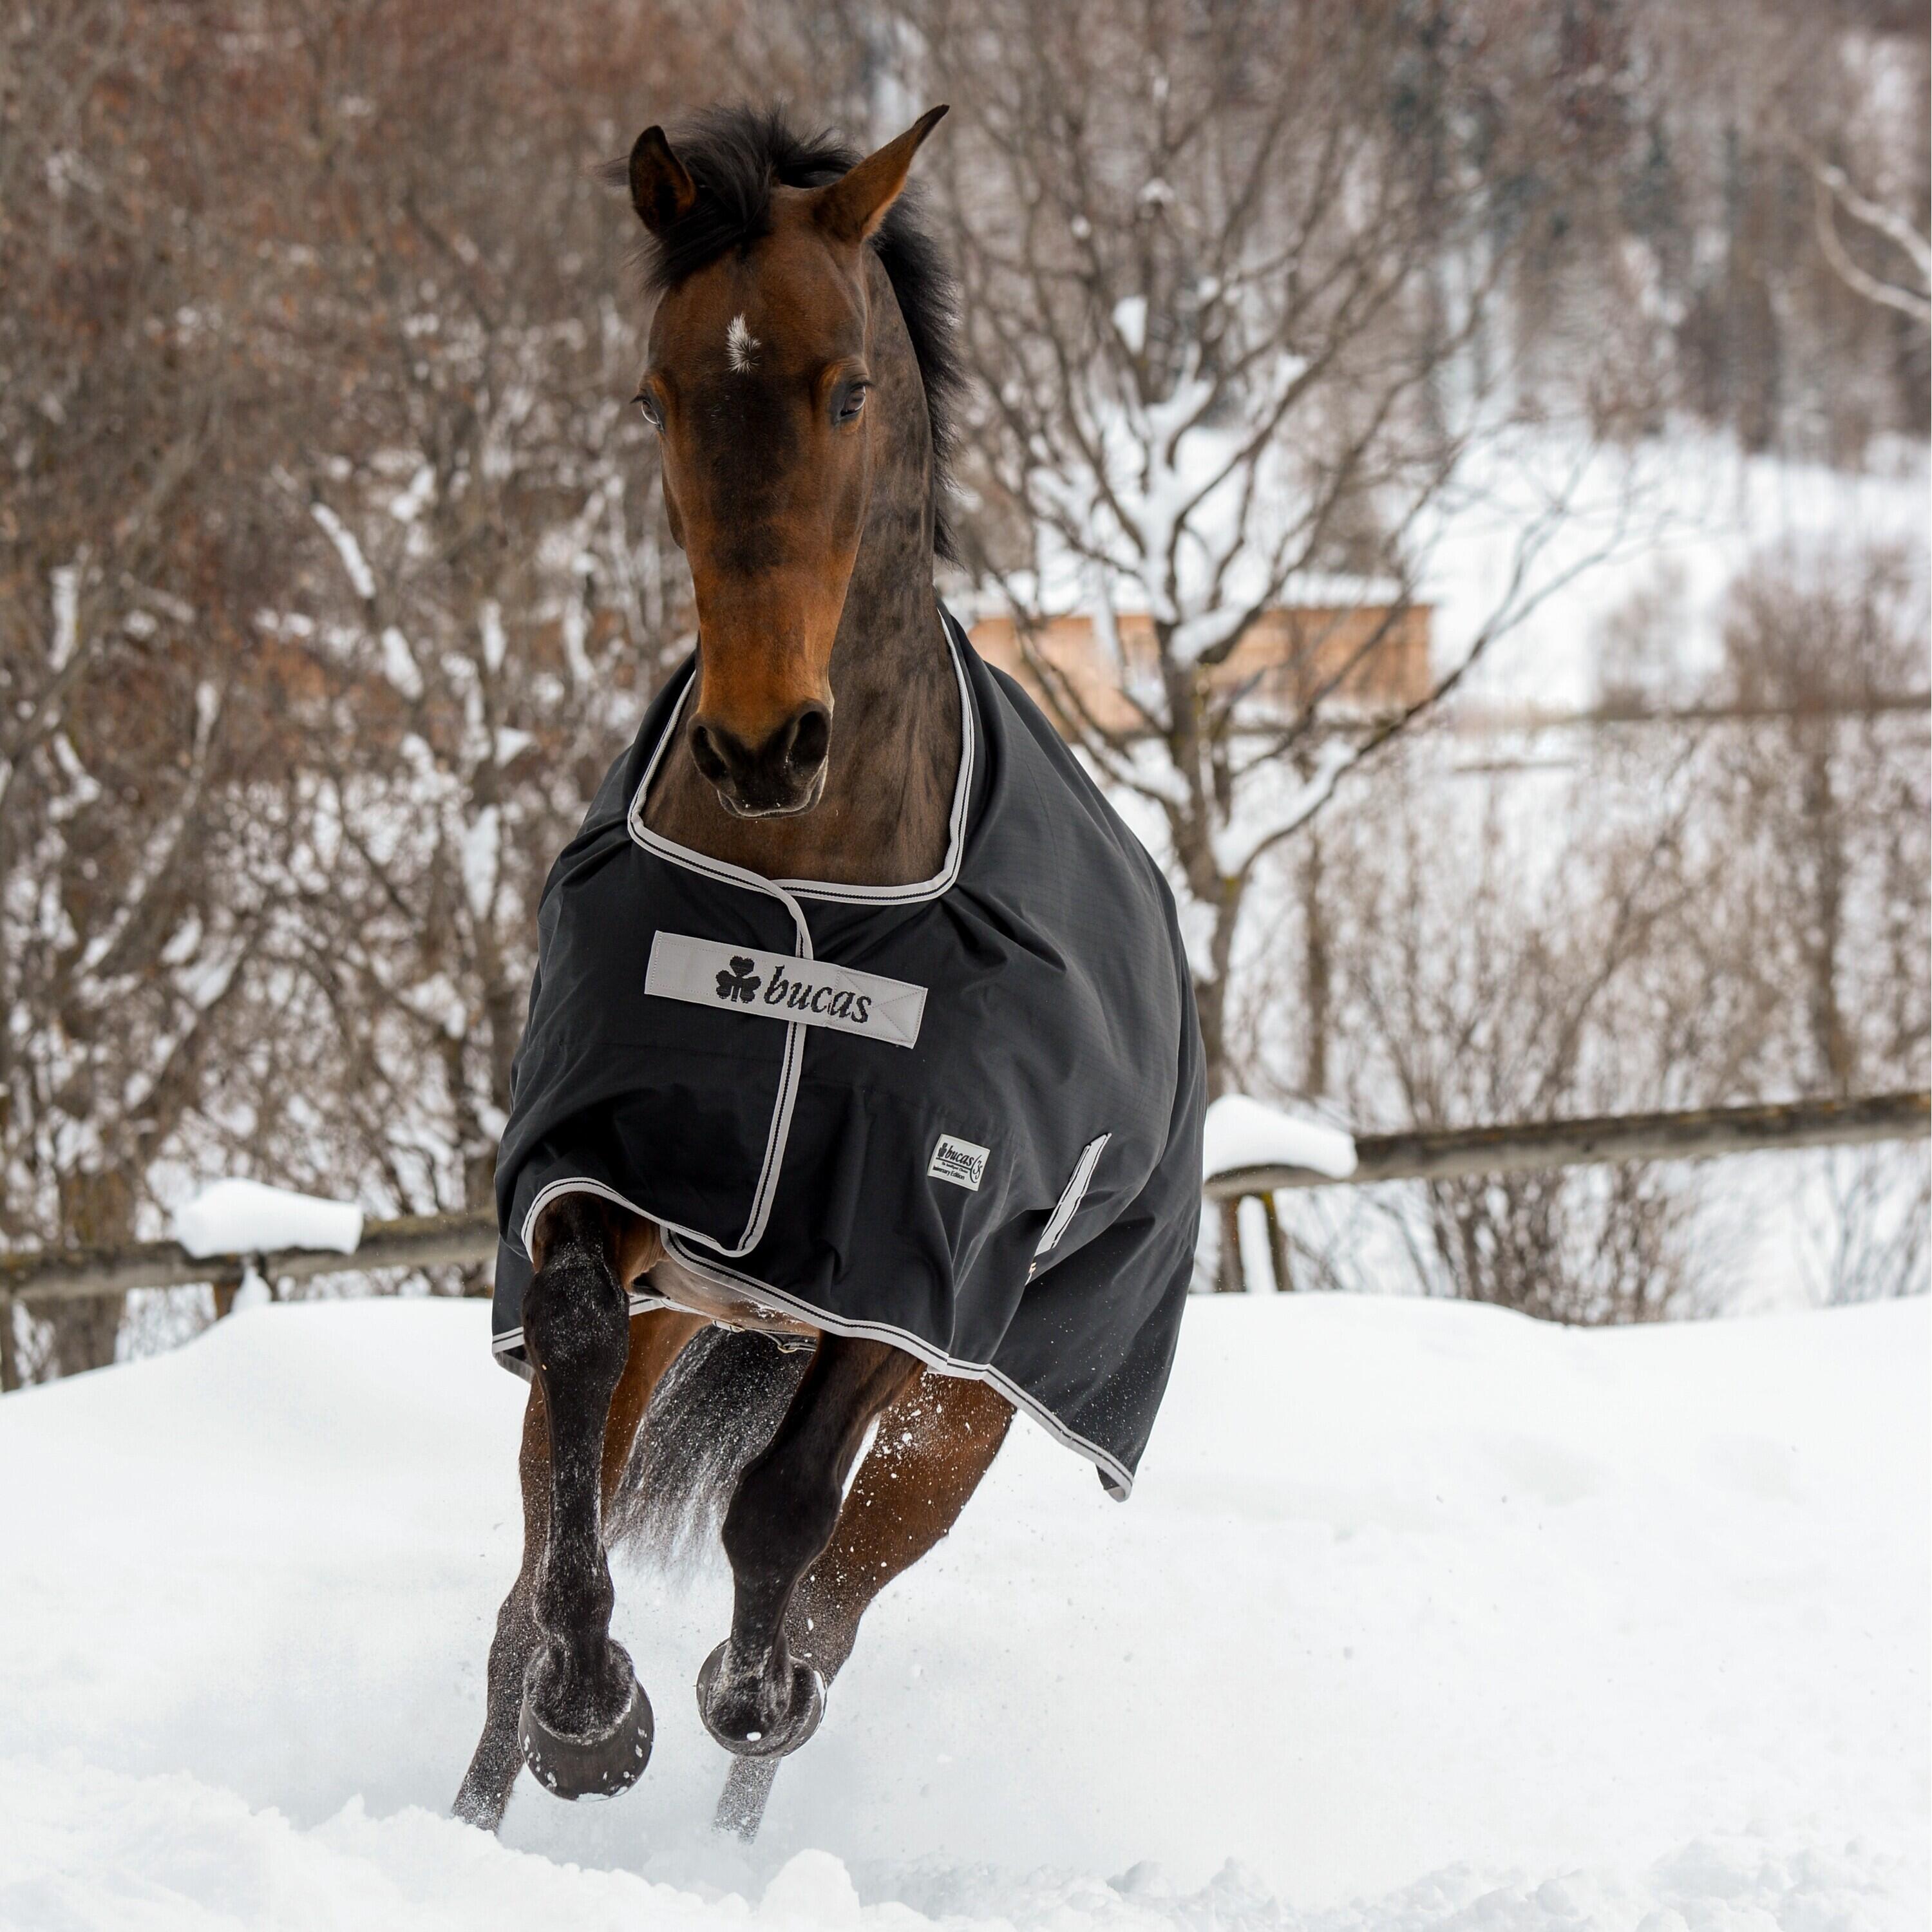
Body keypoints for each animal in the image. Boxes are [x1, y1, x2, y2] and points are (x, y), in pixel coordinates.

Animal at [453, 103, 1203, 1843]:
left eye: (846, 388)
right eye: (658, 393)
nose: (759, 742)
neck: (806, 902)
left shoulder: (915, 1273)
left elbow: (781, 1513)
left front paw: (738, 1689)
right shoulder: (603, 1185)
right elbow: (573, 1374)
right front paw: (592, 1713)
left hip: (970, 1417)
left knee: (836, 1617)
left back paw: (747, 1786)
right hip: (702, 1316)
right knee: (521, 1589)